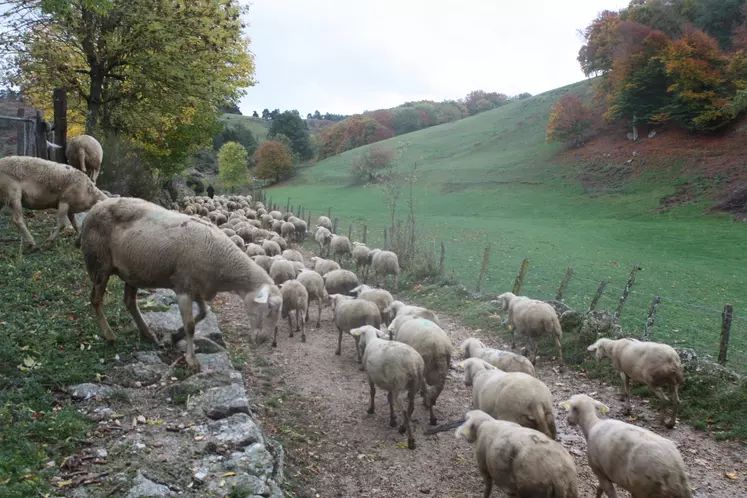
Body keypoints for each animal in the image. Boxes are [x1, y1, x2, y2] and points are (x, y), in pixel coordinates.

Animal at [79, 196, 284, 372]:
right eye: (270, 307)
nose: (264, 340)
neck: (223, 262)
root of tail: (95, 206)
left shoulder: (198, 289)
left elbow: (202, 314)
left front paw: (175, 336)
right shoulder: (184, 289)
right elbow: (190, 326)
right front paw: (191, 360)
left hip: (132, 271)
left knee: (129, 301)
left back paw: (148, 333)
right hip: (99, 264)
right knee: (95, 299)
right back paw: (109, 335)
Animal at [560, 392, 688, 498]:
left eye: (572, 407)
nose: (568, 419)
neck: (591, 425)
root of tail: (675, 470)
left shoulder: (599, 471)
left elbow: (608, 492)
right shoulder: (605, 473)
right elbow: (599, 488)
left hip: (644, 490)